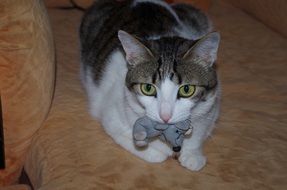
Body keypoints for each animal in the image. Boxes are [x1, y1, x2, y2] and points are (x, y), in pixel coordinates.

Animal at [80, 0, 222, 171]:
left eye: (187, 89)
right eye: (148, 88)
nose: (165, 116)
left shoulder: (212, 110)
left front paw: (193, 155)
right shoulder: (110, 115)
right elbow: (151, 153)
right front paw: (157, 152)